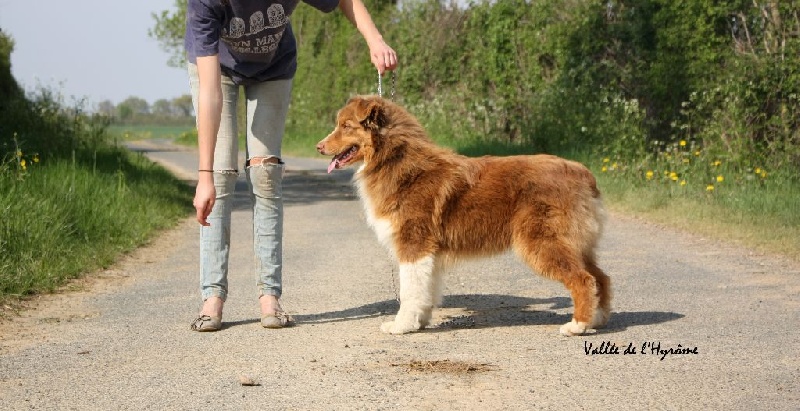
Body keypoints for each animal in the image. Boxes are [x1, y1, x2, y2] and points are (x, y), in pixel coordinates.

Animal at [316, 96, 608, 338]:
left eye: (346, 125)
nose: (319, 146)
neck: (394, 159)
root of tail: (583, 173)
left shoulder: (414, 244)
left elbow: (410, 290)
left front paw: (401, 326)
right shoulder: (428, 251)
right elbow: (426, 289)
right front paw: (419, 323)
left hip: (542, 241)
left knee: (583, 279)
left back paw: (577, 325)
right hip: (577, 243)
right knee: (601, 277)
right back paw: (597, 319)